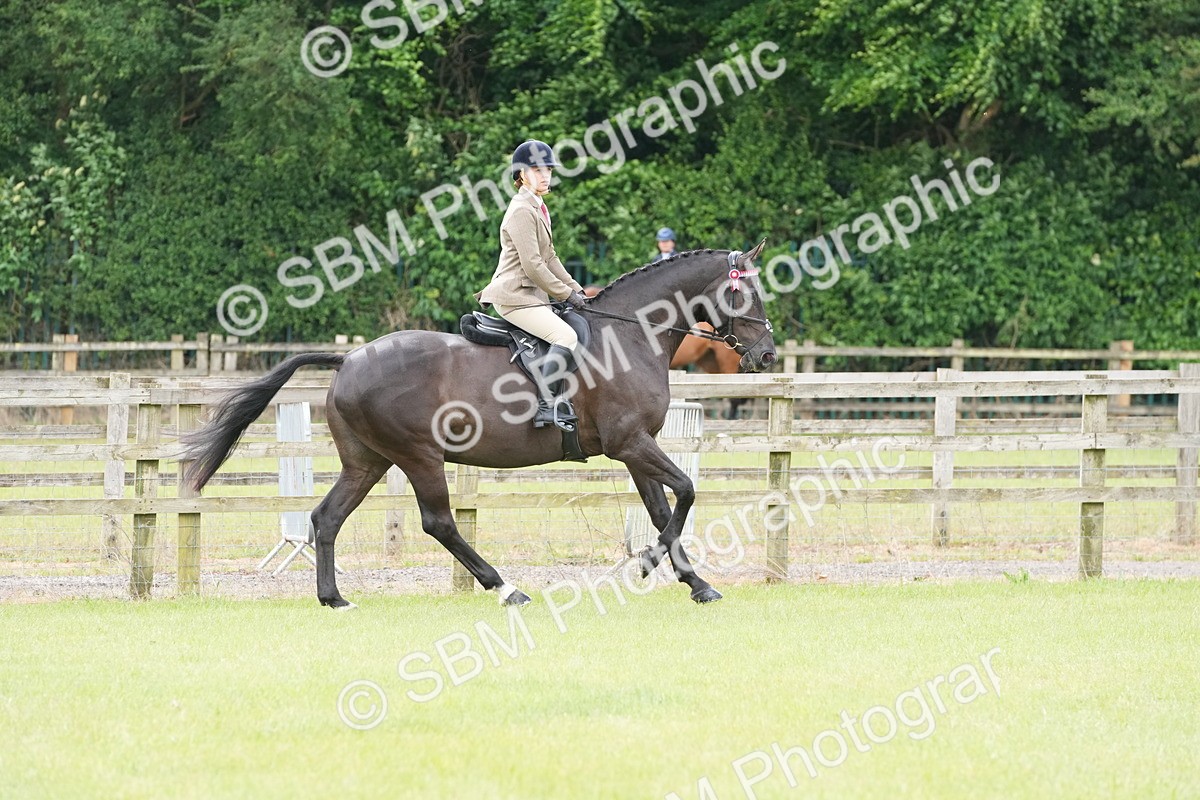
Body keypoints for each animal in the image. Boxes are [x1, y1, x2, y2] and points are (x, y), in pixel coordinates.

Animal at [181, 243, 776, 608]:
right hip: (419, 456)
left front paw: (695, 583)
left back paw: (334, 598)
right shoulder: (632, 442)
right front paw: (652, 565)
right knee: (439, 523)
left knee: (327, 518)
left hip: (367, 461)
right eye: (744, 292)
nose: (767, 354)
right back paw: (506, 588)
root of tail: (349, 359)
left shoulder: (635, 447)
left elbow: (661, 507)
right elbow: (687, 491)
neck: (630, 335)